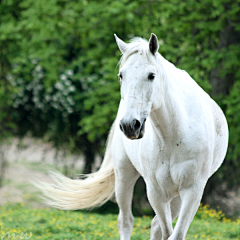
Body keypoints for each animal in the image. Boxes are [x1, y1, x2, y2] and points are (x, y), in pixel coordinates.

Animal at [36, 32, 228, 239]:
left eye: (151, 75)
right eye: (122, 75)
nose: (129, 125)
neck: (175, 137)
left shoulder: (192, 192)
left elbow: (174, 234)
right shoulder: (156, 193)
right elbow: (164, 230)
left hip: (175, 196)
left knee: (155, 225)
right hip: (124, 175)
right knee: (126, 221)